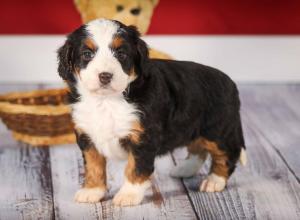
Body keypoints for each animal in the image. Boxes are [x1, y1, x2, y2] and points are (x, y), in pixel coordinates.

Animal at [56, 18, 246, 206]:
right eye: (87, 54)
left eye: (121, 54)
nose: (105, 76)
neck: (107, 101)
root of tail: (230, 82)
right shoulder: (87, 135)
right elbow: (93, 165)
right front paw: (92, 191)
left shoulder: (143, 137)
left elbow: (135, 168)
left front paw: (128, 195)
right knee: (198, 148)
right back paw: (185, 169)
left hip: (217, 130)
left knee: (227, 154)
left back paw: (214, 181)